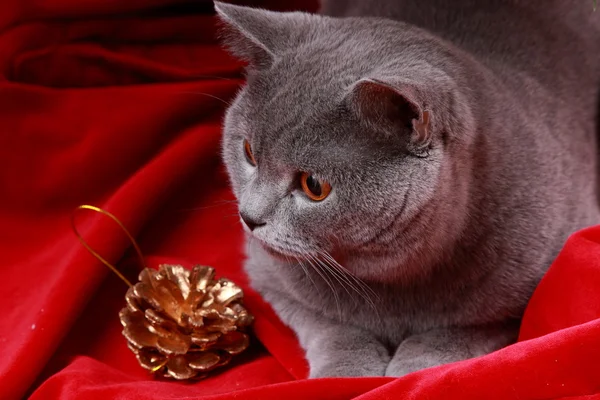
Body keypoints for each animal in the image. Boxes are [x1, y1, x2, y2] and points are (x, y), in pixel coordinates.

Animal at [216, 0, 600, 376]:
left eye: (314, 186)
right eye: (249, 153)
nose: (249, 216)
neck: (394, 286)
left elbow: (461, 329)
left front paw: (411, 369)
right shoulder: (265, 275)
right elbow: (330, 325)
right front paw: (345, 373)